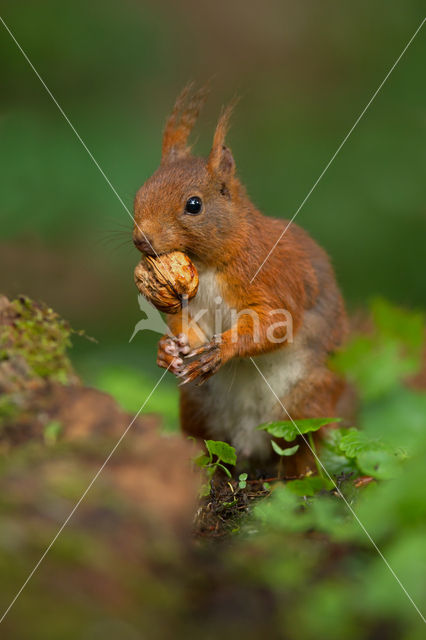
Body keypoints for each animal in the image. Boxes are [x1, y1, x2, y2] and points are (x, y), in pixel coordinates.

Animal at [134, 86, 350, 476]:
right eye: (141, 191)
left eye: (194, 204)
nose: (140, 239)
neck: (208, 266)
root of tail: (251, 443)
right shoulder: (189, 302)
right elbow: (185, 326)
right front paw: (169, 349)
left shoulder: (274, 279)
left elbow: (274, 324)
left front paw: (221, 350)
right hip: (197, 406)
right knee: (207, 445)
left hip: (307, 402)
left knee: (303, 448)